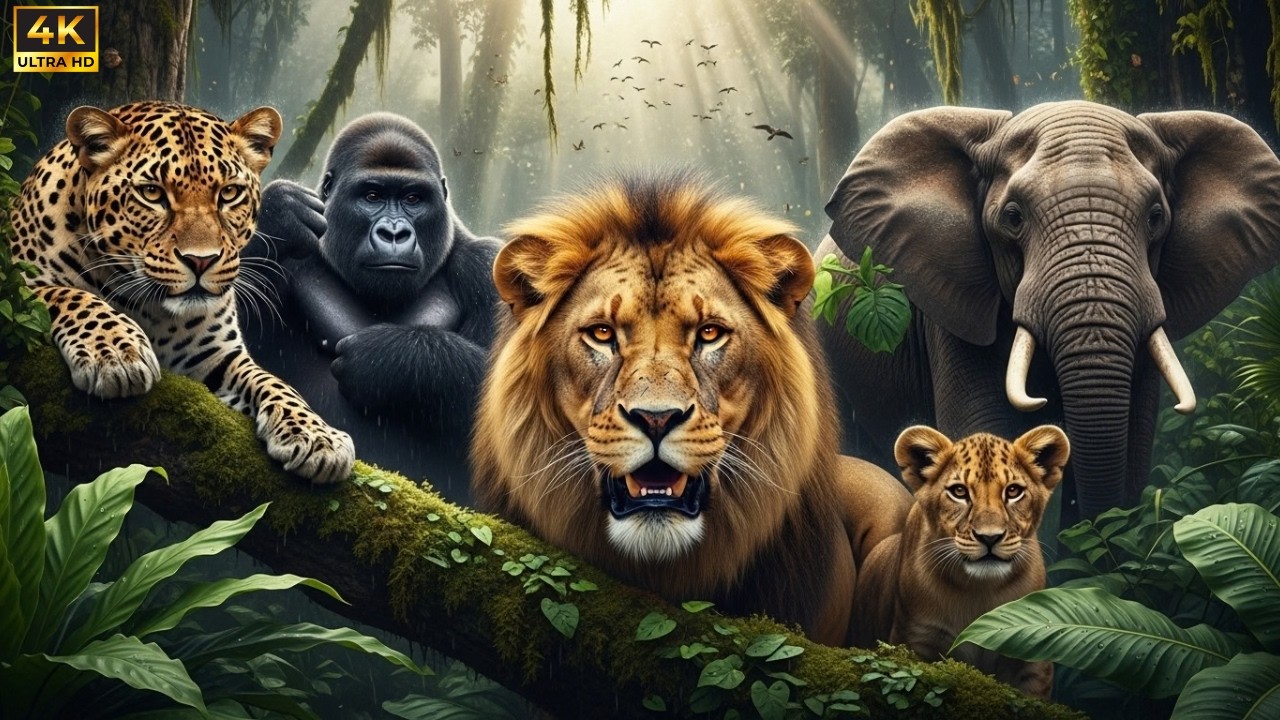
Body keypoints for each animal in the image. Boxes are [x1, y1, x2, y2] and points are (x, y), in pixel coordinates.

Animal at [853, 424, 1069, 697]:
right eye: (959, 492)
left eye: (1013, 491)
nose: (990, 537)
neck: (979, 591)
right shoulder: (917, 640)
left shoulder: (1032, 652)